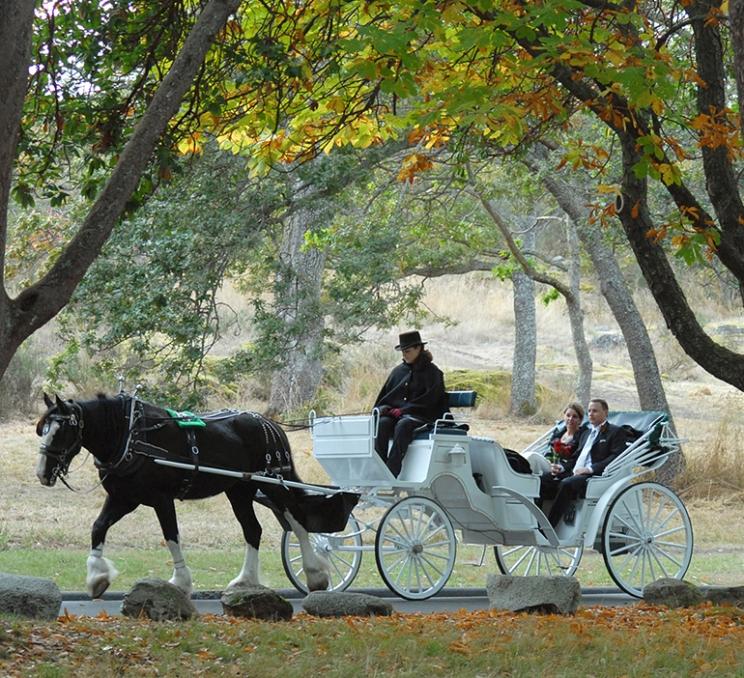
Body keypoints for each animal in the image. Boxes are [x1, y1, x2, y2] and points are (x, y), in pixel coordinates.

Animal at [36, 396, 356, 596]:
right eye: (44, 429)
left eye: (62, 430)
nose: (42, 473)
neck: (130, 435)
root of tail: (270, 424)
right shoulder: (124, 498)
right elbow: (98, 528)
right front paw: (96, 578)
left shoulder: (161, 499)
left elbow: (171, 536)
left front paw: (180, 581)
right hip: (239, 490)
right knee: (253, 530)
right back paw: (245, 580)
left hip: (274, 483)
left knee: (298, 522)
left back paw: (315, 574)